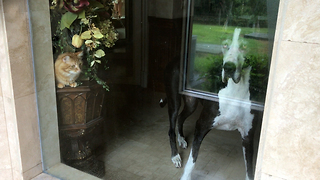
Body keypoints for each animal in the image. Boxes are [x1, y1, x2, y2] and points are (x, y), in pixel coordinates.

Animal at [162, 28, 258, 179]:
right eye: (225, 45)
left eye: (244, 46)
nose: (228, 67)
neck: (235, 92)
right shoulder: (201, 126)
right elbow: (192, 161)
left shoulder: (248, 137)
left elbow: (249, 171)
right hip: (174, 101)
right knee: (172, 127)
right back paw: (175, 156)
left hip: (191, 103)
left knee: (181, 118)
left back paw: (181, 139)